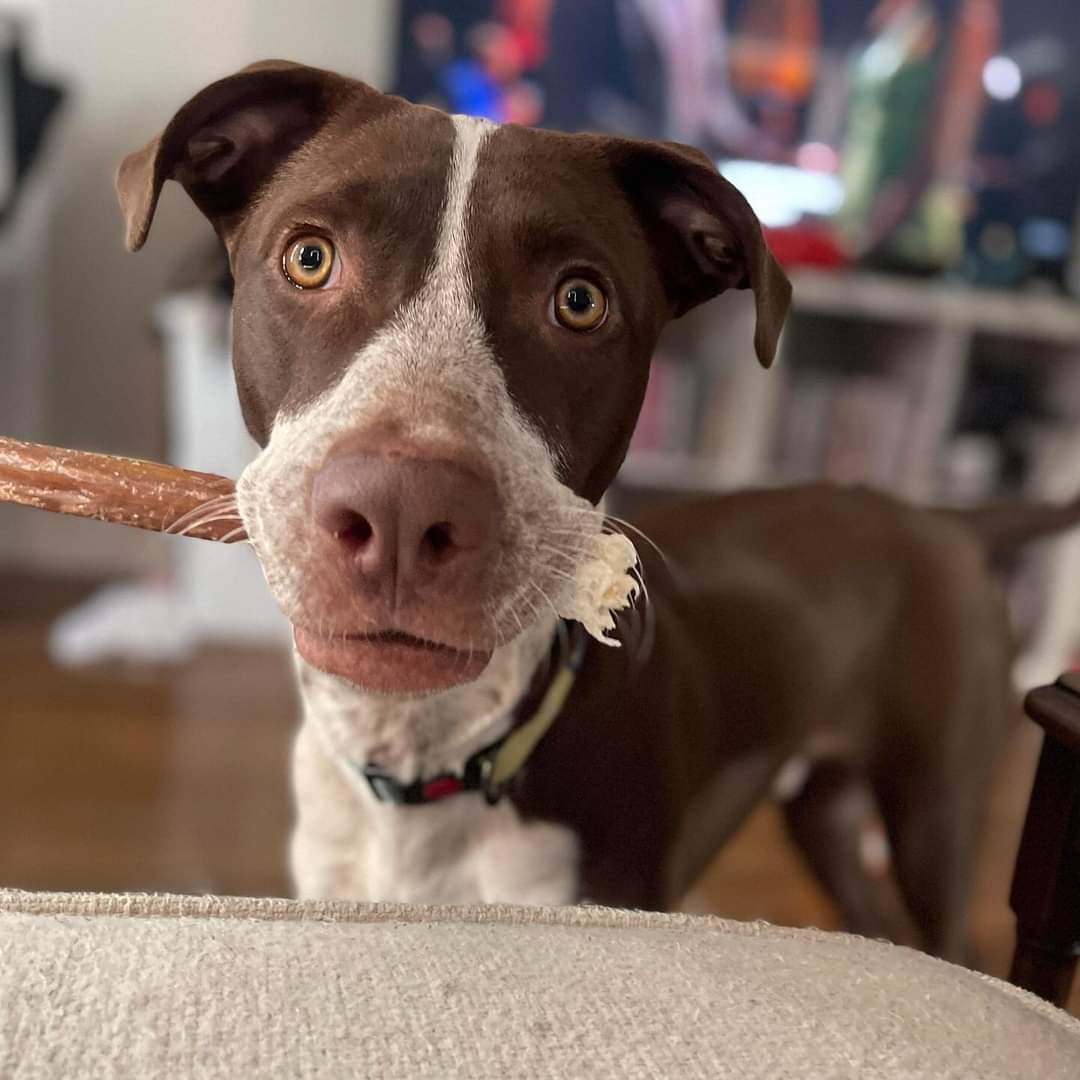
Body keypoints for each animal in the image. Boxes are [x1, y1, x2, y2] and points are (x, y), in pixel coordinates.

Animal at [113, 61, 1075, 954]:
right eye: (309, 258)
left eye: (579, 302)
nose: (402, 511)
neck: (429, 758)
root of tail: (946, 521)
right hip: (826, 811)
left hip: (933, 808)